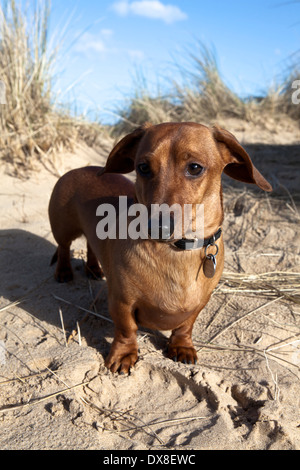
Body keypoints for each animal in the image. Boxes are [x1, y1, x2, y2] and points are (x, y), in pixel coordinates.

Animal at [48, 123, 272, 372]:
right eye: (143, 167)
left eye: (195, 168)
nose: (157, 227)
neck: (177, 251)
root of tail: (79, 168)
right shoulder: (121, 302)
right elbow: (126, 329)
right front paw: (124, 353)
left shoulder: (200, 303)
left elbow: (185, 326)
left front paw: (182, 346)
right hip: (63, 227)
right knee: (64, 247)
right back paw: (64, 272)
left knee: (89, 244)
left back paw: (93, 269)